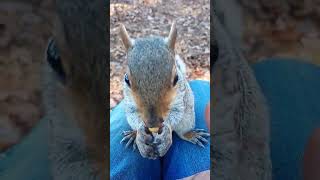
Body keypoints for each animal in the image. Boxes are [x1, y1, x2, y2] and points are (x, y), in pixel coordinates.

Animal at [119, 22, 209, 159]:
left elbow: (176, 114)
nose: (152, 123)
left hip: (188, 119)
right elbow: (134, 116)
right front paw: (139, 134)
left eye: (176, 78)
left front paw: (167, 129)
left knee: (182, 131)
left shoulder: (180, 101)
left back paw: (190, 135)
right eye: (126, 79)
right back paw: (133, 135)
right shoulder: (130, 105)